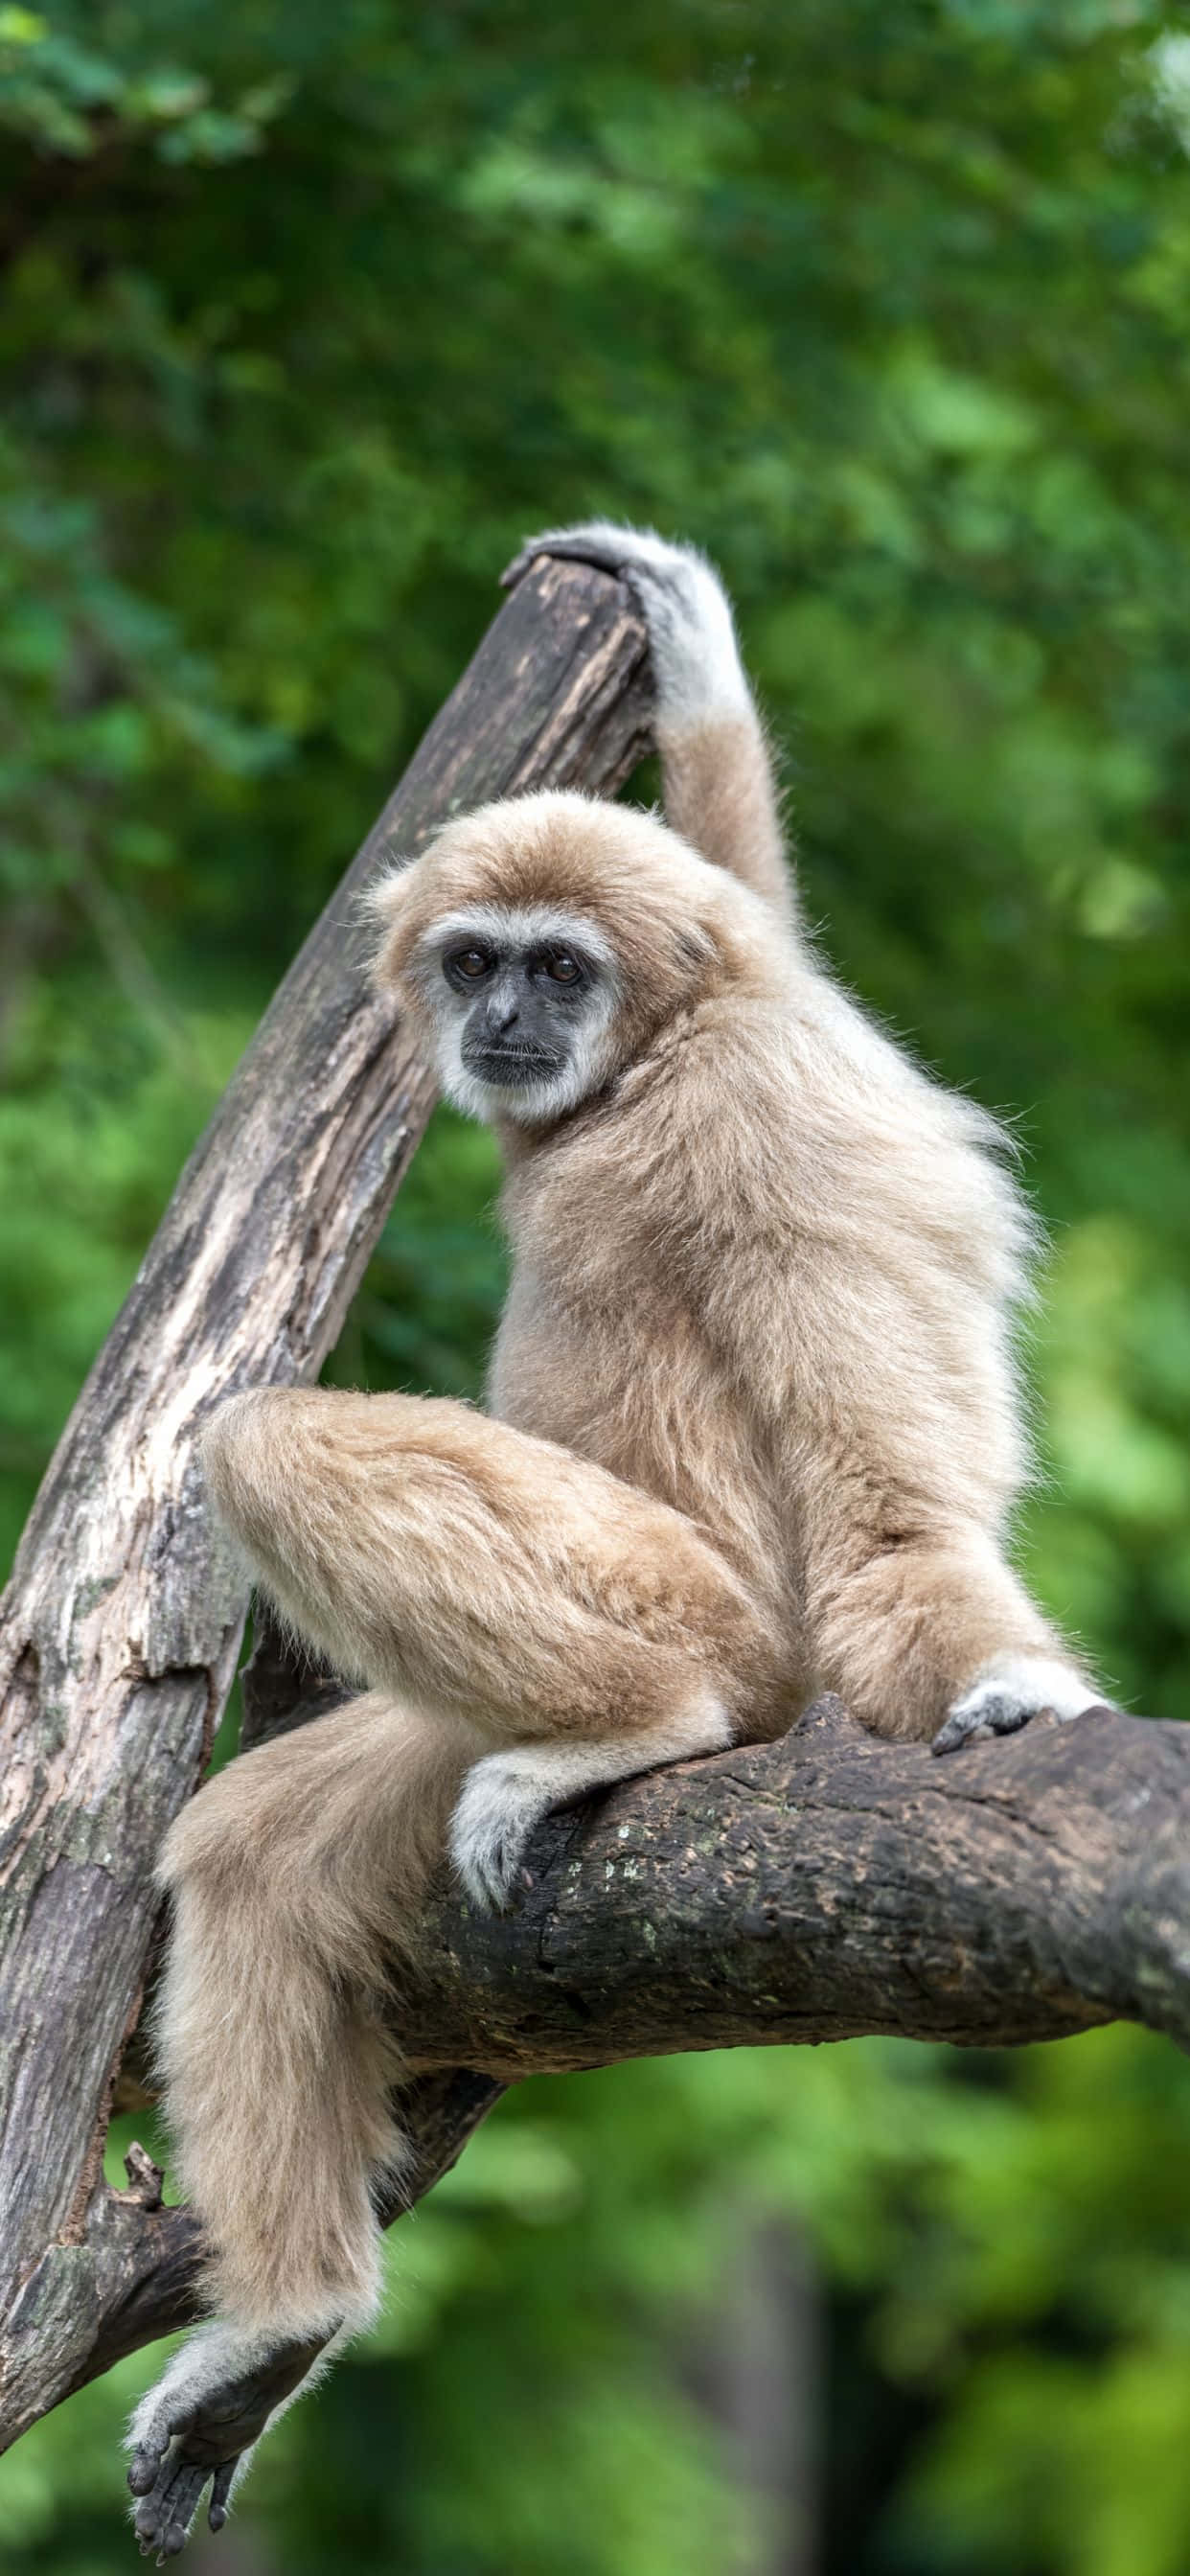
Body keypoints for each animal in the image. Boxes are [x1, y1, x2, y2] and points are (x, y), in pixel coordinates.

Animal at [126, 523, 1106, 2554]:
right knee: (252, 1859)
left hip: (691, 1624)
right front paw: (700, 678)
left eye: (558, 969)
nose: (504, 1021)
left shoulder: (771, 1113)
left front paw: (1008, 1692)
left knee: (266, 1445)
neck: (653, 1070)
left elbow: (897, 1513)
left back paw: (637, 1722)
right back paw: (288, 2319)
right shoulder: (788, 1018)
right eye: (479, 959)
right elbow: (768, 909)